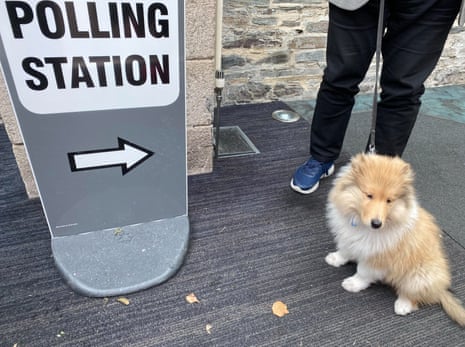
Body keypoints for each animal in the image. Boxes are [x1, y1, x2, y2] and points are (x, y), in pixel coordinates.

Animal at [322, 154, 464, 328]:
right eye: (369, 195)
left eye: (389, 200)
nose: (376, 224)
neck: (363, 225)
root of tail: (440, 289)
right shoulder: (349, 237)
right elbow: (345, 250)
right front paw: (335, 259)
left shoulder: (378, 256)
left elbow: (363, 272)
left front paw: (353, 284)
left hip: (419, 276)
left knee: (414, 296)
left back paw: (403, 305)